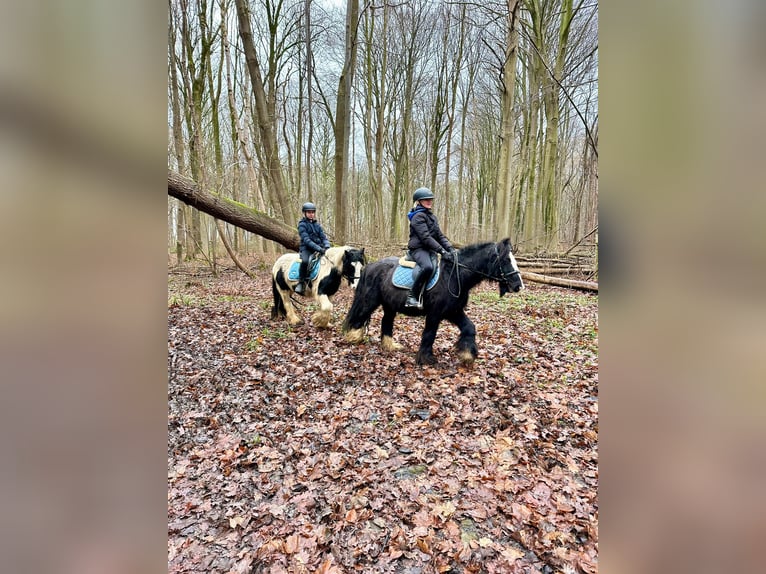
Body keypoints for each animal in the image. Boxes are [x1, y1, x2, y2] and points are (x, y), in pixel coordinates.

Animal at [344, 240, 524, 366]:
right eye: (506, 260)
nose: (518, 285)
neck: (454, 275)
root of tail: (370, 267)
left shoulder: (453, 311)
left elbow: (469, 327)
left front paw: (467, 355)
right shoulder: (435, 313)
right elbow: (429, 334)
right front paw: (426, 358)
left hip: (390, 305)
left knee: (386, 321)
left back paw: (390, 346)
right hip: (370, 300)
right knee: (360, 316)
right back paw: (353, 338)